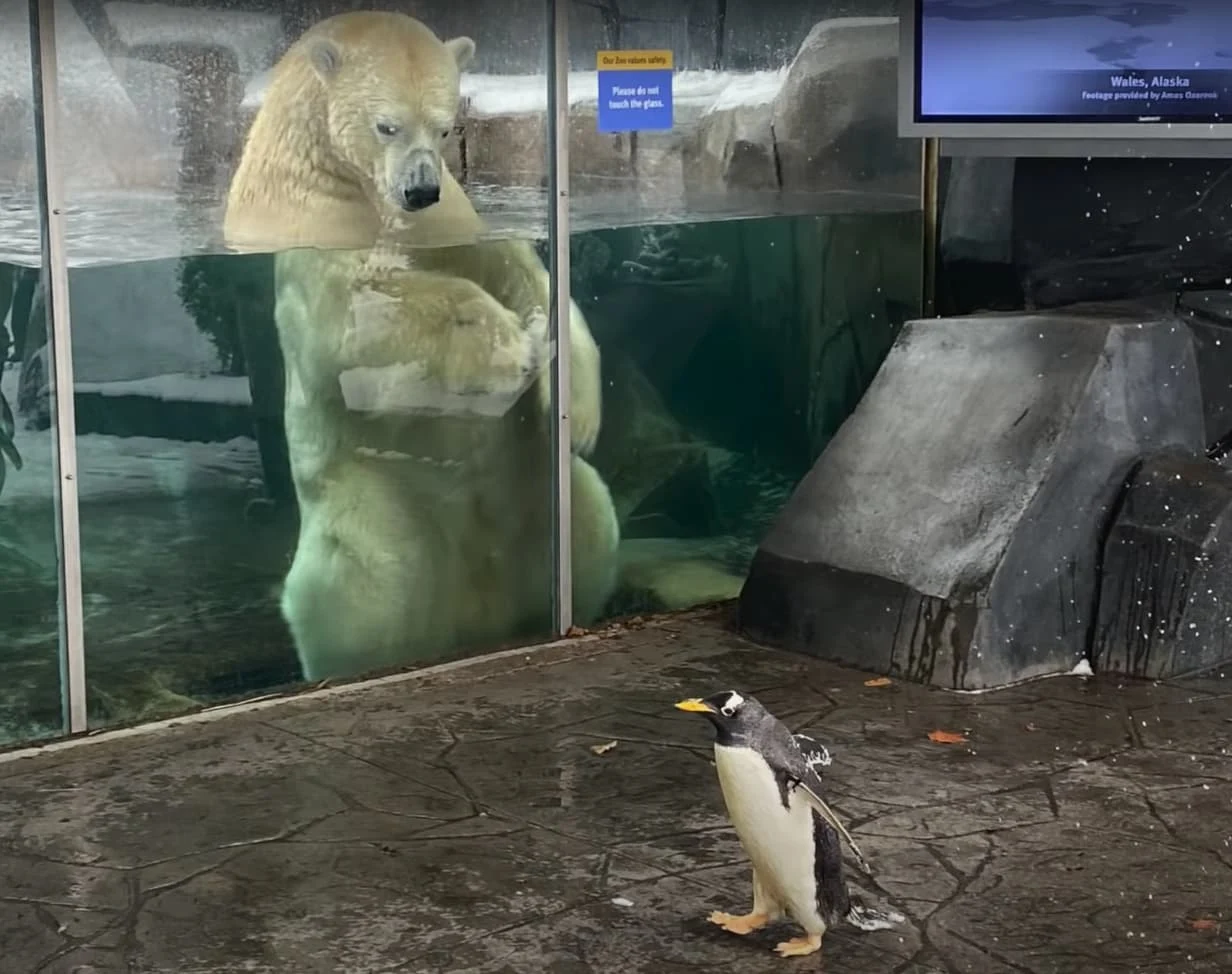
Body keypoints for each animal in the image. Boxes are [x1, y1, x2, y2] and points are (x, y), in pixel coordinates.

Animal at [224, 11, 616, 679]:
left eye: (447, 125)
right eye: (387, 125)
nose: (420, 190)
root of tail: (475, 610)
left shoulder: (456, 222)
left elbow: (523, 272)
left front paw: (575, 405)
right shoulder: (317, 242)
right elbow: (355, 318)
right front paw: (508, 346)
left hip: (537, 490)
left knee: (589, 521)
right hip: (377, 509)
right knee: (361, 588)